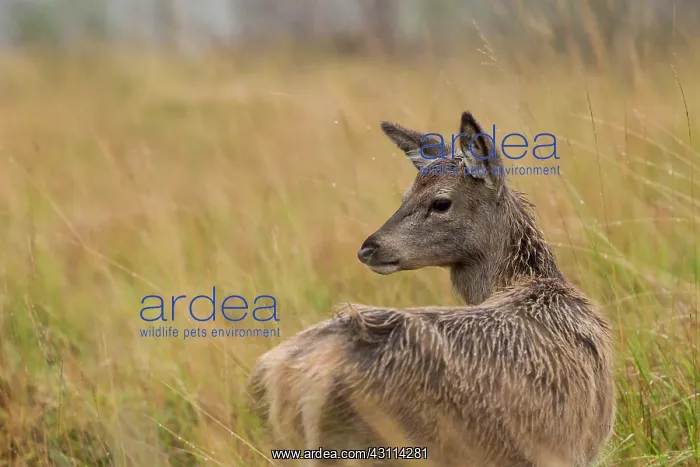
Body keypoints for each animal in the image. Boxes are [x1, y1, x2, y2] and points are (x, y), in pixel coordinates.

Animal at [248, 111, 616, 467]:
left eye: (440, 203)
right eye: (405, 195)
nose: (368, 248)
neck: (531, 283)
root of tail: (286, 374)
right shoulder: (573, 448)